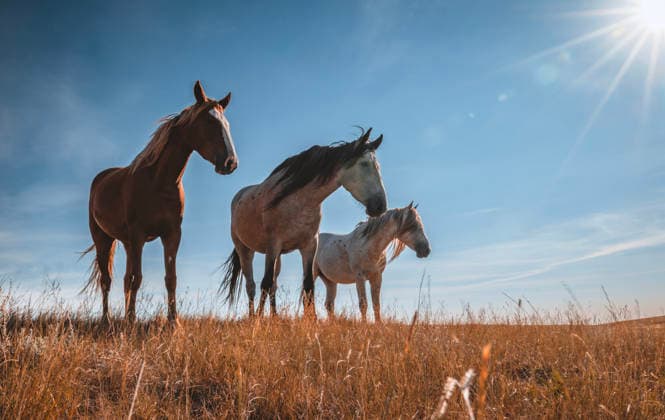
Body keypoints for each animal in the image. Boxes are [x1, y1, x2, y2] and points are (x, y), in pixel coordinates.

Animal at [83, 81, 238, 323]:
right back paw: (106, 321)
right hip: (104, 239)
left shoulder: (171, 234)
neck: (159, 182)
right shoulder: (138, 235)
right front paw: (131, 322)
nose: (231, 163)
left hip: (127, 243)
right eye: (209, 122)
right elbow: (137, 279)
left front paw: (174, 322)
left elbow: (170, 278)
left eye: (226, 124)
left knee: (125, 279)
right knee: (106, 280)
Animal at [220, 128, 387, 318]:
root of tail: (239, 196)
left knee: (273, 285)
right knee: (252, 285)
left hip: (277, 256)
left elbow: (308, 286)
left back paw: (275, 316)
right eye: (364, 164)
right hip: (245, 249)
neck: (299, 201)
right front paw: (259, 321)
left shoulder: (309, 246)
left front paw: (311, 320)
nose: (381, 206)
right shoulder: (273, 244)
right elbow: (265, 283)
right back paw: (253, 316)